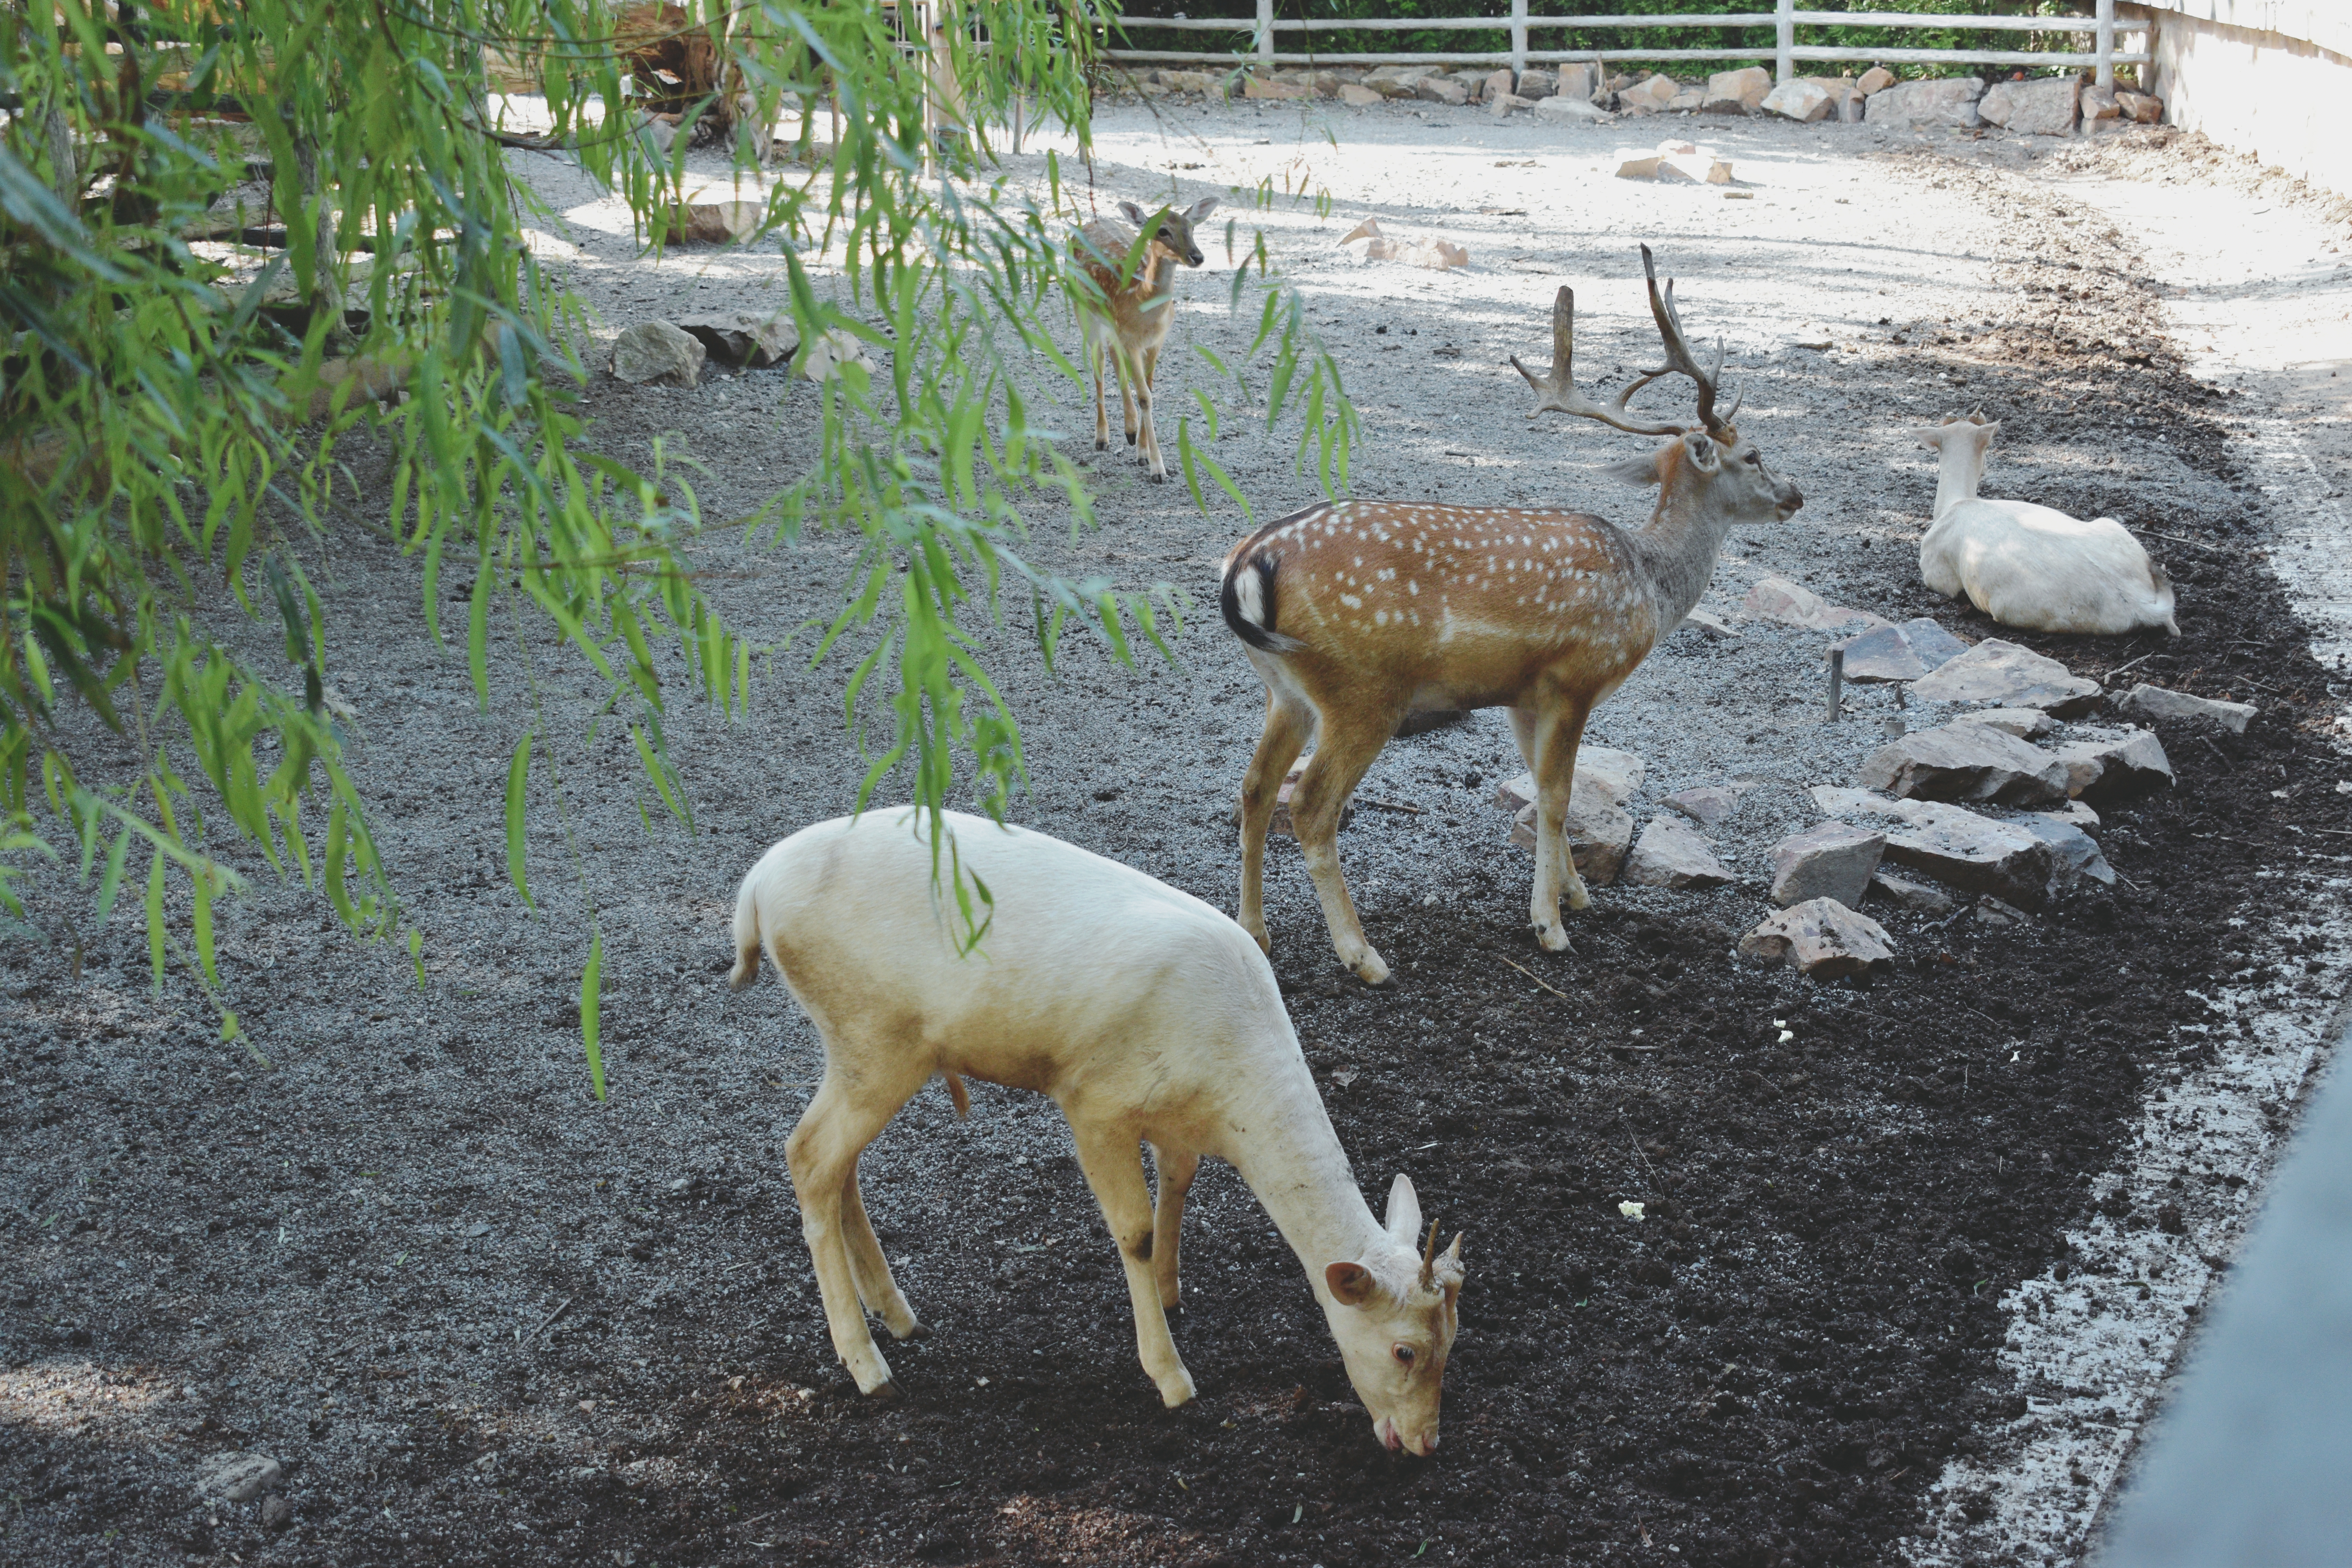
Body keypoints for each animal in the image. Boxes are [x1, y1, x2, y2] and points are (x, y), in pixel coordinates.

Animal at [729, 807, 1465, 1454]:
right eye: (1405, 1350)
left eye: (1455, 1339)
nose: (1425, 1443)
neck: (1230, 1095)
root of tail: (753, 891)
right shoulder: (1092, 1101)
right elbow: (1132, 1231)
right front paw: (1171, 1376)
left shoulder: (1171, 1118)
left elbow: (1180, 1181)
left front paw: (1171, 1290)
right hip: (874, 1035)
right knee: (808, 1155)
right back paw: (867, 1364)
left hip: (860, 1049)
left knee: (837, 1164)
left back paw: (898, 1314)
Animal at [1071, 197, 1218, 483]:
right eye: (1162, 231)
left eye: (1192, 227)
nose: (1197, 256)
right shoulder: (1131, 341)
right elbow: (1145, 397)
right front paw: (1158, 469)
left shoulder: (1155, 342)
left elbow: (1149, 390)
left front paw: (1142, 453)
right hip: (1082, 309)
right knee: (1099, 365)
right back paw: (1102, 437)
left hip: (1112, 326)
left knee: (1113, 355)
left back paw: (1129, 431)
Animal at [1220, 246, 1803, 986]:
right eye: (1753, 454)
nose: (1796, 495)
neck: (1649, 584)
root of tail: (1249, 561)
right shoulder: (1576, 678)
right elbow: (1557, 797)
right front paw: (1551, 927)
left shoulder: (1524, 695)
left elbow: (1543, 792)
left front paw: (1576, 894)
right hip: (1363, 689)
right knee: (1311, 806)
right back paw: (1364, 956)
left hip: (1285, 689)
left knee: (1255, 789)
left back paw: (1254, 933)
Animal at [1914, 413, 2178, 637]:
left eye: (1989, 447)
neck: (1955, 503)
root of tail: (2137, 601)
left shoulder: (1936, 574)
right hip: (2114, 527)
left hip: (2016, 610)